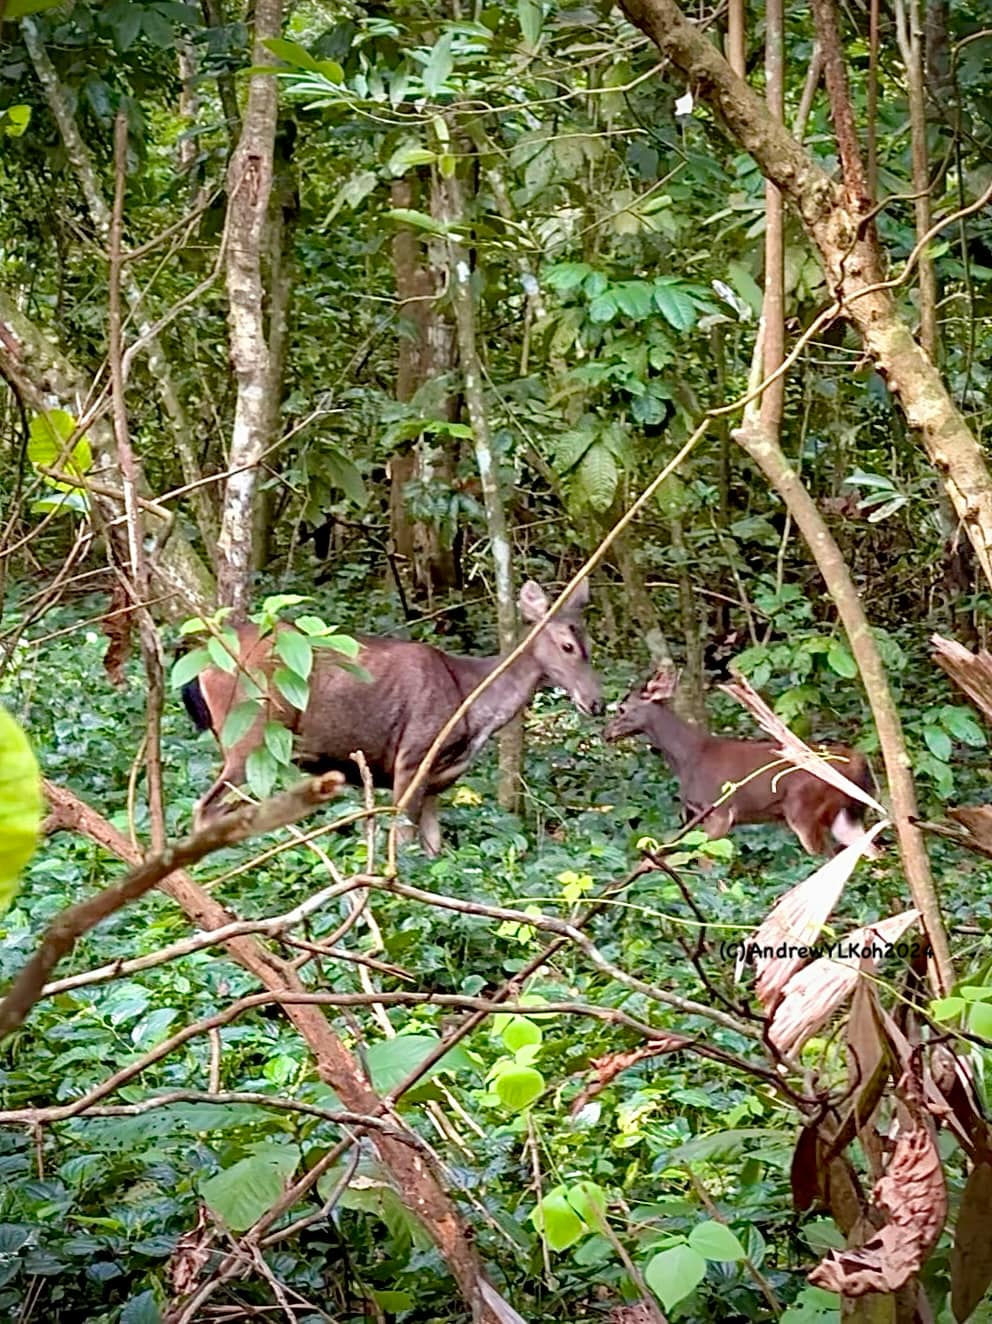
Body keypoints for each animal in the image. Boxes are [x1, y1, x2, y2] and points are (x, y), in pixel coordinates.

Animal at [184, 582, 603, 852]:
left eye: (590, 644)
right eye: (567, 646)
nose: (596, 702)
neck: (470, 703)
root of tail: (200, 669)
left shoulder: (436, 782)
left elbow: (434, 849)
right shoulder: (413, 756)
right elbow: (401, 841)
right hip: (250, 735)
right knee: (205, 808)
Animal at [603, 672, 874, 857]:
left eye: (622, 708)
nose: (605, 733)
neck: (688, 757)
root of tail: (857, 762)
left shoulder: (719, 811)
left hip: (804, 808)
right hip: (845, 814)